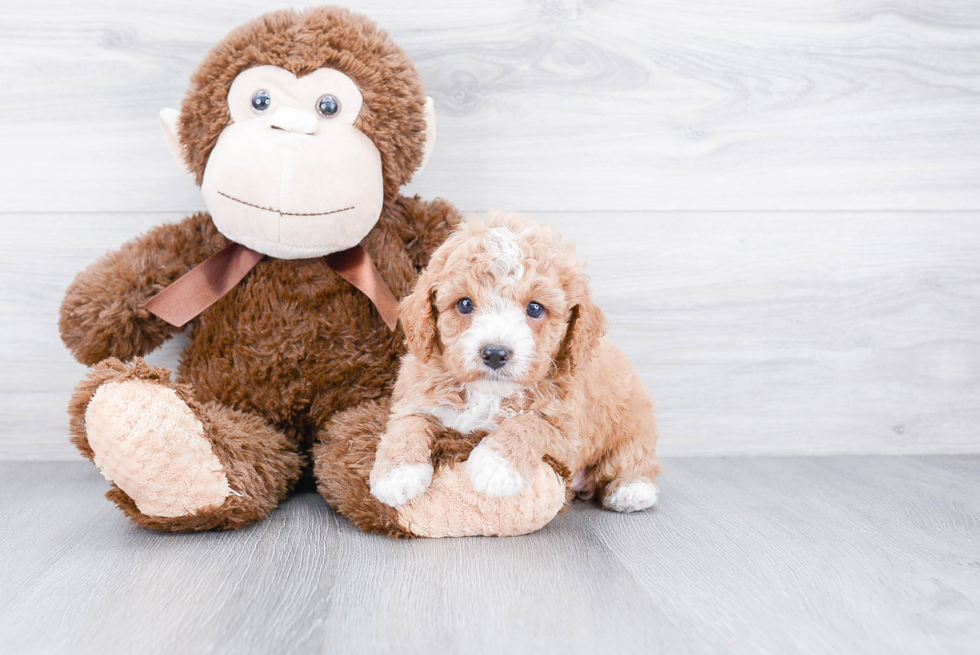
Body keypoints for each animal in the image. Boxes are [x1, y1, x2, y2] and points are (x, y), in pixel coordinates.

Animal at [372, 213, 664, 516]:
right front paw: (397, 474)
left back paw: (631, 490)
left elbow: (529, 424)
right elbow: (407, 425)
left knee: (633, 458)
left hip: (634, 425)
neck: (488, 394)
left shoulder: (569, 432)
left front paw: (495, 466)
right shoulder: (418, 396)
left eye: (535, 308)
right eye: (464, 304)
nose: (495, 353)